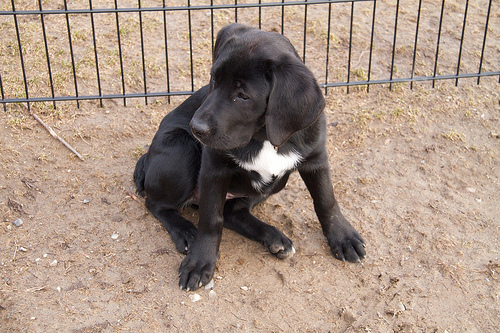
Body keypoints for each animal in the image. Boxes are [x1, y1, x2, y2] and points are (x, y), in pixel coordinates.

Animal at [135, 23, 366, 290]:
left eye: (243, 95)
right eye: (214, 79)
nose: (196, 128)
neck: (263, 137)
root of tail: (146, 159)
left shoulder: (316, 159)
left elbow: (326, 200)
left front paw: (343, 237)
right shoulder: (213, 168)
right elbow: (210, 219)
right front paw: (200, 261)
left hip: (272, 185)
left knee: (233, 212)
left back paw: (274, 239)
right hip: (182, 149)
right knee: (156, 203)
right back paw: (184, 231)